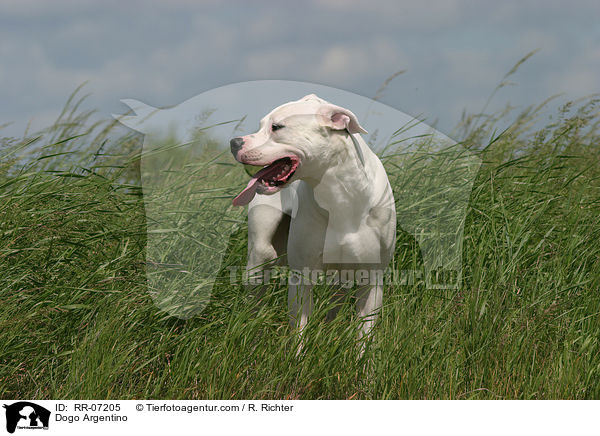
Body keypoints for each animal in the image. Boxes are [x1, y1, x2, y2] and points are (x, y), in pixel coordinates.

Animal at [229, 93, 394, 346]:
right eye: (261, 125)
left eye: (276, 127)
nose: (234, 143)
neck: (340, 196)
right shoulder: (301, 276)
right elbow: (299, 330)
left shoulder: (372, 281)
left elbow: (364, 336)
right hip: (259, 256)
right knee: (255, 298)